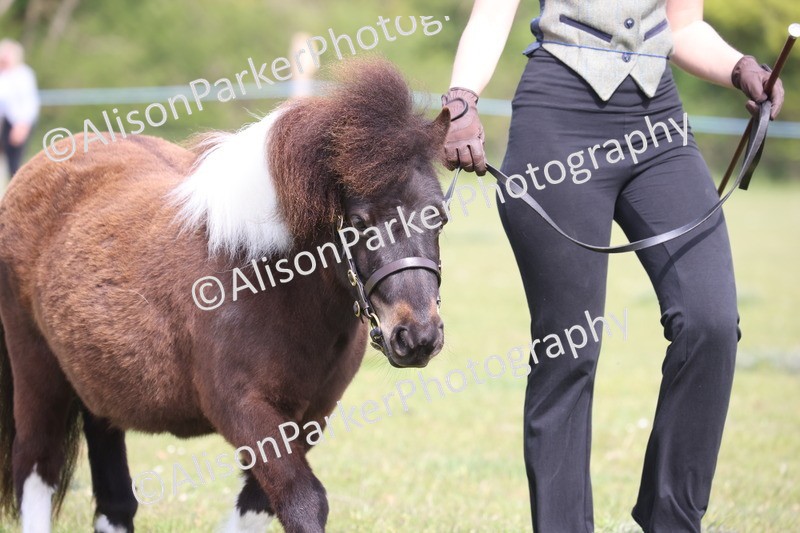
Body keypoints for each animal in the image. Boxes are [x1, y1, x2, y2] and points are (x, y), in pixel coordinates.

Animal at [0, 57, 450, 533]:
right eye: (359, 222)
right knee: (35, 465)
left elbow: (259, 503)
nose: (417, 335)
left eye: (439, 215)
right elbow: (303, 500)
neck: (264, 280)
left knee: (113, 495)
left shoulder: (310, 415)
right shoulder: (242, 408)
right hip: (36, 367)